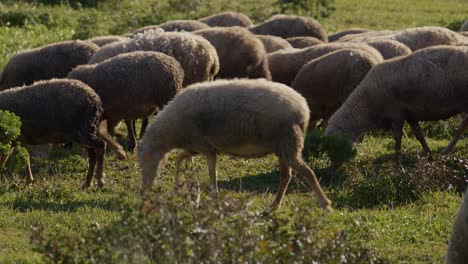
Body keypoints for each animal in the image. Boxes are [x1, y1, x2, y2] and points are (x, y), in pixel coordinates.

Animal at [139, 78, 332, 210]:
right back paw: (274, 206)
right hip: (283, 147)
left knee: (308, 173)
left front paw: (213, 196)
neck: (172, 130)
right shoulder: (198, 146)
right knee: (286, 176)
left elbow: (211, 174)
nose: (144, 191)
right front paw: (180, 188)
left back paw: (325, 203)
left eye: (143, 162)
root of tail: (303, 108)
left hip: (288, 143)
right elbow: (181, 159)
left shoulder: (206, 148)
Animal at [324, 45, 468, 161]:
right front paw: (429, 154)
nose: (334, 166)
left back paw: (447, 149)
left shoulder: (396, 113)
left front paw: (397, 159)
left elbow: (398, 136)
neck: (367, 103)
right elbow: (419, 134)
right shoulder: (410, 114)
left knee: (463, 125)